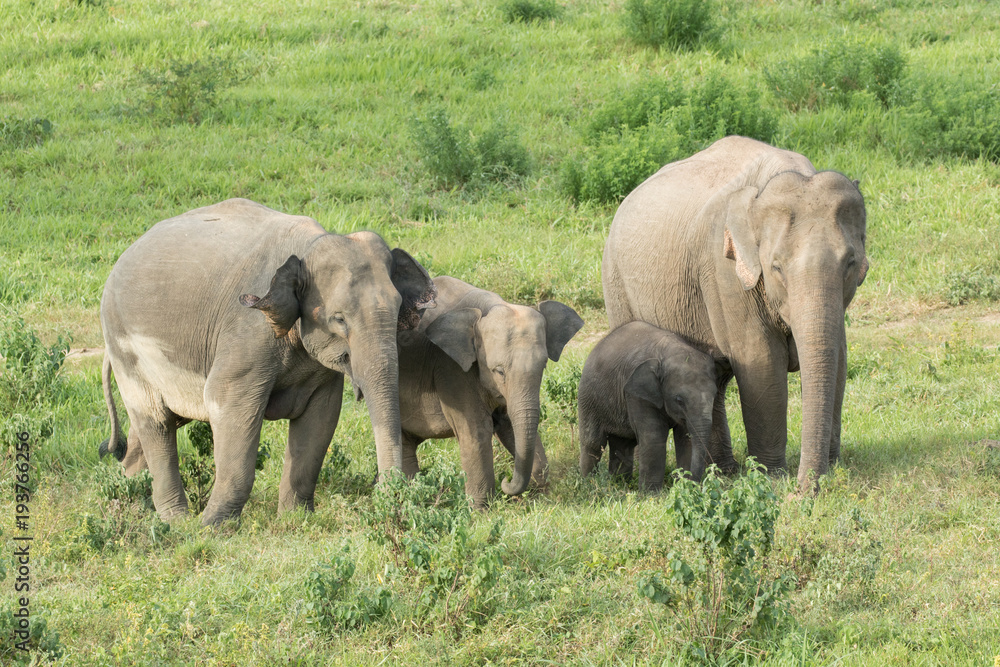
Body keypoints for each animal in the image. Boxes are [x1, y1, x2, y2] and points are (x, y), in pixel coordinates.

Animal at [98, 198, 438, 528]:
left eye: (398, 310)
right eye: (339, 319)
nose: (385, 493)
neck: (308, 246)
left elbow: (320, 420)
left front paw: (295, 520)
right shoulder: (246, 333)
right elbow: (228, 405)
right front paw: (212, 528)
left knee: (155, 425)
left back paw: (132, 504)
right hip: (124, 345)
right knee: (156, 422)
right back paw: (176, 521)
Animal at [398, 276, 584, 506]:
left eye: (543, 367)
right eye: (499, 371)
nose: (506, 480)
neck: (491, 306)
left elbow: (509, 423)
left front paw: (540, 493)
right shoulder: (451, 369)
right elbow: (477, 430)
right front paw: (480, 510)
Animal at [580, 320, 720, 488]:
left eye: (714, 395)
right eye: (679, 400)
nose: (696, 485)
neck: (671, 351)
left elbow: (686, 437)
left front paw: (682, 486)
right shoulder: (636, 393)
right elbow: (653, 436)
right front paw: (652, 493)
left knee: (623, 444)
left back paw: (619, 485)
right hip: (589, 398)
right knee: (593, 442)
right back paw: (588, 484)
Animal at [600, 137, 868, 490]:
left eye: (850, 262)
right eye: (776, 268)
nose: (805, 491)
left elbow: (838, 356)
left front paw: (834, 467)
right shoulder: (724, 273)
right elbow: (761, 361)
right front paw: (772, 476)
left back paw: (722, 472)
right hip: (616, 284)